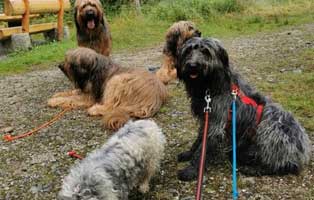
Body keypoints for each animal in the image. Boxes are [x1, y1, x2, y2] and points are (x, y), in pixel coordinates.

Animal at [175, 36, 310, 181]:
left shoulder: (217, 123)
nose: (192, 65)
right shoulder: (207, 118)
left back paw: (253, 169)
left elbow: (203, 148)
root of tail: (304, 149)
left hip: (270, 128)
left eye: (206, 52)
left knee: (285, 165)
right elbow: (199, 139)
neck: (212, 85)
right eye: (188, 51)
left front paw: (191, 170)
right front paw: (188, 153)